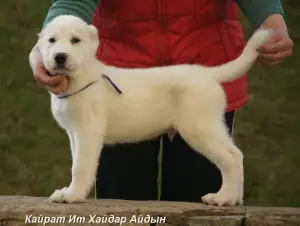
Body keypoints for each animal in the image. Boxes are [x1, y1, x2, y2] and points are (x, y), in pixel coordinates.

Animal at [37, 15, 272, 207]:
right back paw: (234, 199)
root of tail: (209, 74)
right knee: (236, 155)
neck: (81, 77)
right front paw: (68, 191)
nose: (60, 56)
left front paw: (73, 195)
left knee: (232, 157)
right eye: (52, 41)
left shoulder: (88, 132)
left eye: (75, 41)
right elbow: (76, 162)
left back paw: (223, 198)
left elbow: (80, 166)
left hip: (200, 128)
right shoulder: (74, 133)